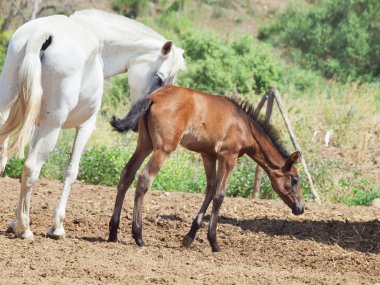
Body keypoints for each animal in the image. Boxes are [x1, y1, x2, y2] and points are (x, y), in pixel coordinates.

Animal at [0, 9, 186, 240]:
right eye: (160, 78)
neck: (98, 40)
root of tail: (43, 34)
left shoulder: (35, 125)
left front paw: (13, 222)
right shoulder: (85, 127)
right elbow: (71, 172)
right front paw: (57, 227)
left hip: (7, 108)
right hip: (52, 127)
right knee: (31, 167)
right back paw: (24, 228)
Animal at [108, 85, 304, 251]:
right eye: (295, 179)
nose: (301, 208)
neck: (245, 125)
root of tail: (153, 97)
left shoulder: (208, 156)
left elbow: (209, 190)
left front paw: (189, 237)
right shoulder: (228, 156)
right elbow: (219, 195)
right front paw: (214, 242)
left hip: (144, 144)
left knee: (127, 175)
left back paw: (113, 232)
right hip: (163, 148)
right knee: (144, 179)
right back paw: (138, 236)